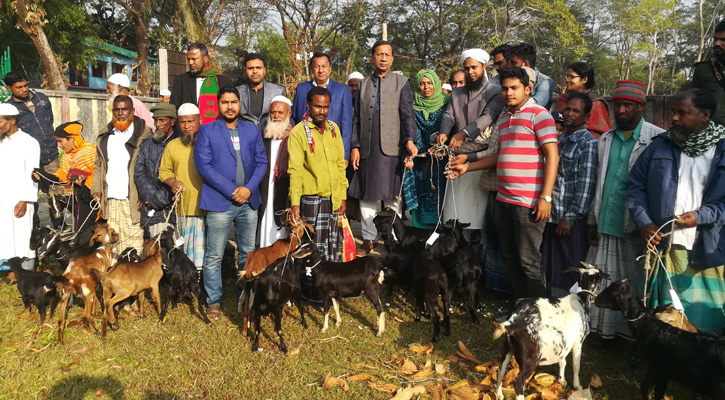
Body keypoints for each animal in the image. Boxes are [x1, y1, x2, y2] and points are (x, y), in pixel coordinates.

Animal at [592, 280, 724, 398]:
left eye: (612, 293)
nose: (596, 300)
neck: (648, 326)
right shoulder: (664, 372)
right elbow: (659, 392)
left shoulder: (654, 367)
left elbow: (644, 387)